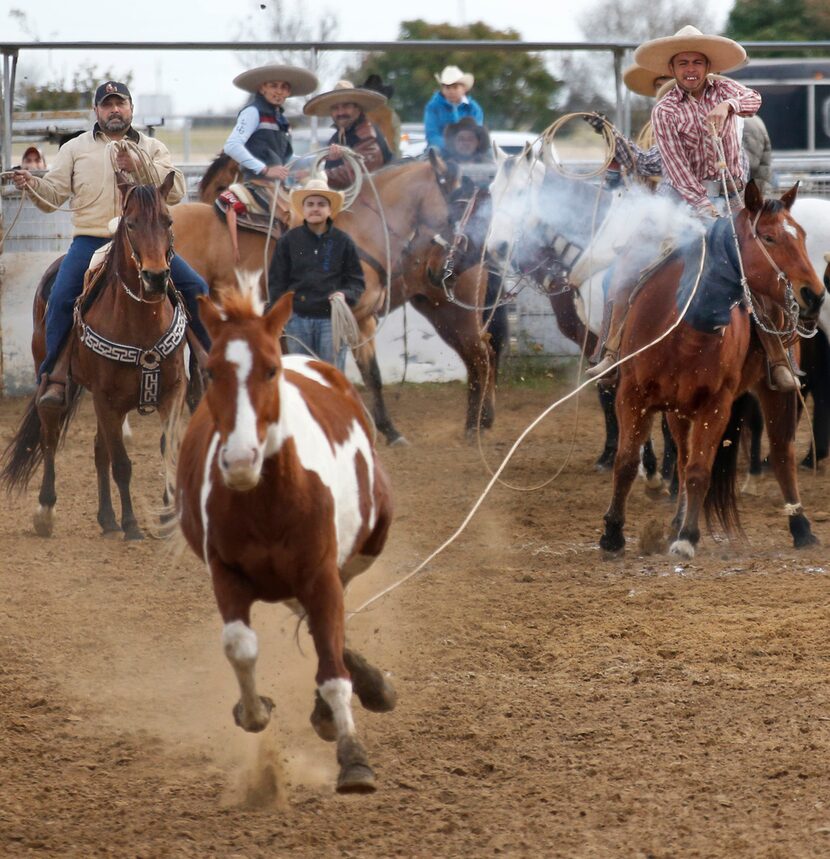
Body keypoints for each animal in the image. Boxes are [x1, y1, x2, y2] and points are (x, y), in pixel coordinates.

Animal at [1, 171, 187, 540]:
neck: (142, 324)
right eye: (130, 223)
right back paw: (46, 510)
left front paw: (167, 516)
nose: (156, 277)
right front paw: (132, 525)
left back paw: (107, 518)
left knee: (99, 451)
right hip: (52, 379)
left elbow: (164, 447)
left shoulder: (172, 393)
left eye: (168, 220)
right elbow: (122, 463)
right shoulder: (106, 399)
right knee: (50, 434)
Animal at [176, 288, 396, 792]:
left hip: (367, 541)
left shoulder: (320, 572)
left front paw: (353, 758)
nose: (239, 461)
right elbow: (240, 646)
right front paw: (253, 711)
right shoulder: (225, 572)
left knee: (327, 622)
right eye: (211, 370)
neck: (269, 499)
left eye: (269, 369)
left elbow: (333, 666)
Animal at [600, 181, 828, 556]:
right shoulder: (632, 395)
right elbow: (627, 462)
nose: (815, 295)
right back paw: (676, 521)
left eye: (803, 235)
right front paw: (612, 534)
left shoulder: (716, 404)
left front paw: (688, 538)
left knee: (782, 454)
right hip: (677, 408)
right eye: (768, 237)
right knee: (680, 457)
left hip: (775, 392)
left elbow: (699, 470)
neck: (684, 328)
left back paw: (801, 527)